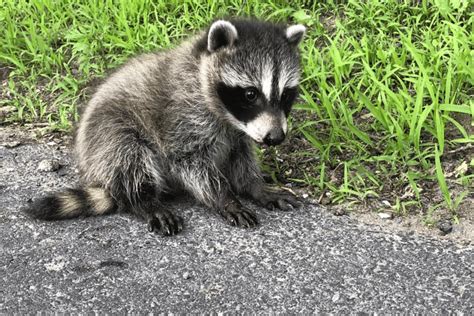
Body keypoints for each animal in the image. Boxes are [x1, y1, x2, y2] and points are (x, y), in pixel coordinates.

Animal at [25, 17, 308, 235]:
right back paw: (143, 200)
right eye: (250, 94)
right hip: (107, 131)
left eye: (285, 95)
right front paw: (225, 198)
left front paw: (255, 187)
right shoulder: (182, 116)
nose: (276, 137)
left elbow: (241, 160)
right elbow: (191, 164)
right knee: (128, 156)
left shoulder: (238, 133)